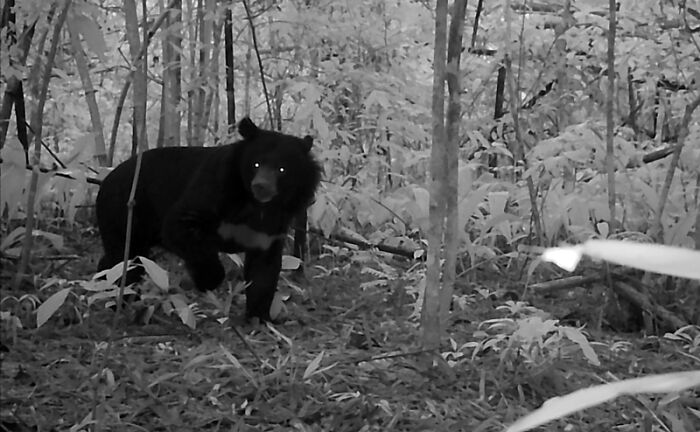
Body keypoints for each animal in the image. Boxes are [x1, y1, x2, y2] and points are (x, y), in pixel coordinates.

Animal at [95, 117, 322, 321]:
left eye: (282, 169)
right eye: (256, 164)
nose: (261, 187)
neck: (255, 205)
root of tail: (105, 180)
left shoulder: (273, 224)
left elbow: (264, 268)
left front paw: (260, 318)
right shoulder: (214, 189)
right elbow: (178, 225)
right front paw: (208, 281)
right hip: (122, 214)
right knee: (125, 261)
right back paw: (119, 302)